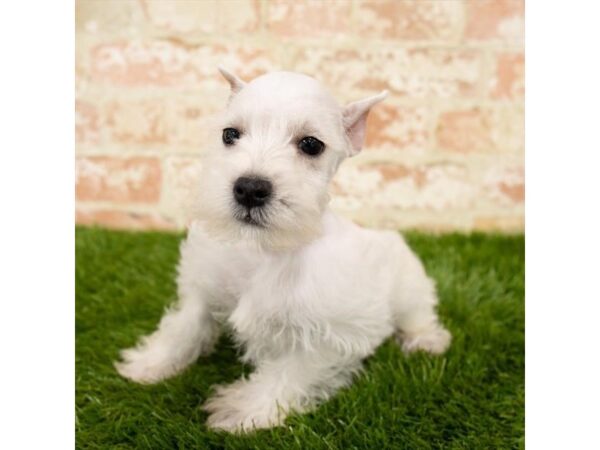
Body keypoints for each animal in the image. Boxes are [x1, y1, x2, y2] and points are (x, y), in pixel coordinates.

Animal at [116, 69, 450, 432]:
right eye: (230, 134)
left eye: (311, 144)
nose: (249, 188)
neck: (262, 249)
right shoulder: (203, 291)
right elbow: (184, 327)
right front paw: (150, 363)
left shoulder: (331, 335)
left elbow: (290, 373)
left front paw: (244, 410)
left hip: (409, 288)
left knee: (418, 315)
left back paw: (427, 340)